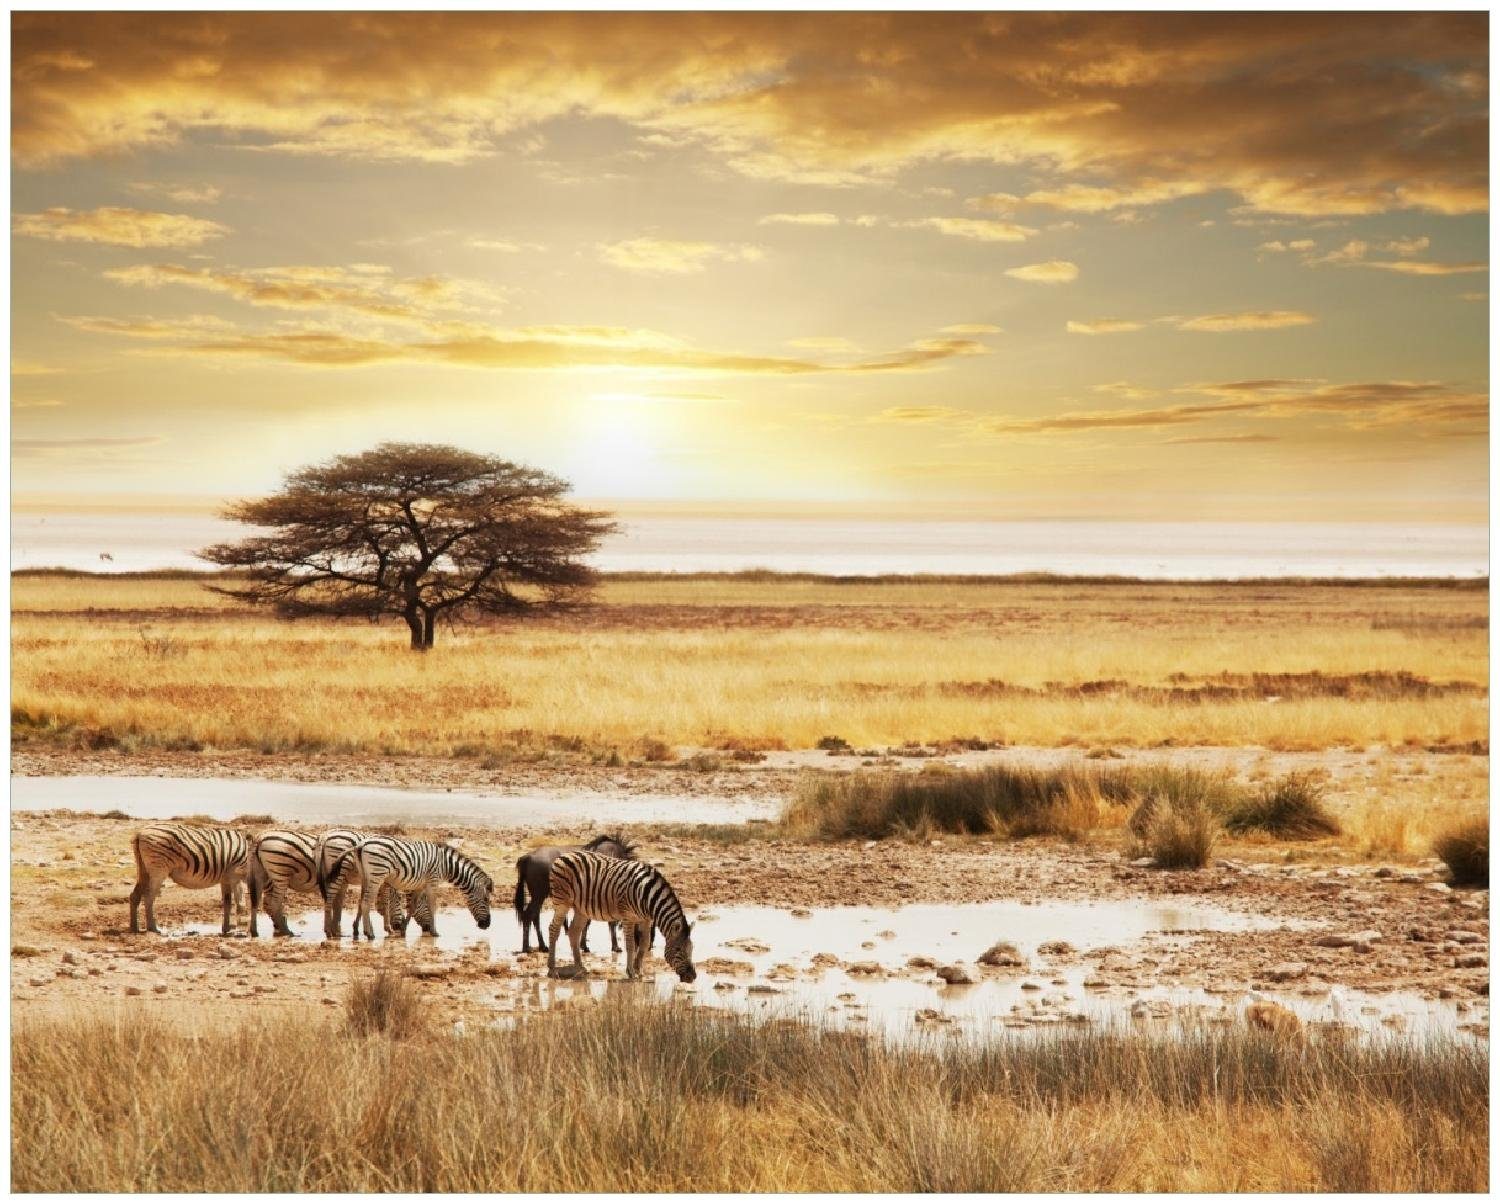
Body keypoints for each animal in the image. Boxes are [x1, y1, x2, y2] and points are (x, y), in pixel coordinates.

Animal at [250, 827, 429, 941]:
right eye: (424, 904)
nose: (427, 928)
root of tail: (260, 837)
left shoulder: (357, 880)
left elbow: (352, 904)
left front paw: (349, 929)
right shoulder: (378, 879)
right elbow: (382, 901)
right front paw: (387, 928)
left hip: (263, 875)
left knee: (258, 902)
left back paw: (259, 930)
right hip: (280, 873)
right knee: (273, 903)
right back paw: (287, 931)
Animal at [331, 839, 495, 941]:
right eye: (486, 899)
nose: (487, 925)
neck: (446, 865)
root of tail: (360, 845)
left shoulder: (420, 885)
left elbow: (413, 906)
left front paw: (403, 929)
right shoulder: (432, 881)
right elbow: (432, 906)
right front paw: (435, 932)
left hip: (366, 876)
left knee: (362, 903)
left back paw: (362, 931)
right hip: (376, 875)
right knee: (366, 903)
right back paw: (369, 934)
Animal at [513, 833, 642, 953]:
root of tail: (528, 857)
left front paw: (583, 945)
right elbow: (608, 922)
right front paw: (614, 947)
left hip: (538, 896)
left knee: (534, 917)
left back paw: (542, 946)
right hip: (539, 895)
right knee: (529, 915)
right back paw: (527, 948)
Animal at [546, 851, 696, 983]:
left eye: (692, 948)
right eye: (678, 950)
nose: (692, 977)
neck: (647, 895)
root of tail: (563, 855)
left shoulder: (646, 919)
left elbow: (644, 943)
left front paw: (639, 970)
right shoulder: (628, 917)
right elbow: (630, 945)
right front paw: (631, 972)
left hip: (581, 909)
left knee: (574, 932)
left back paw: (580, 967)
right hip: (562, 902)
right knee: (553, 929)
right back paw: (552, 968)